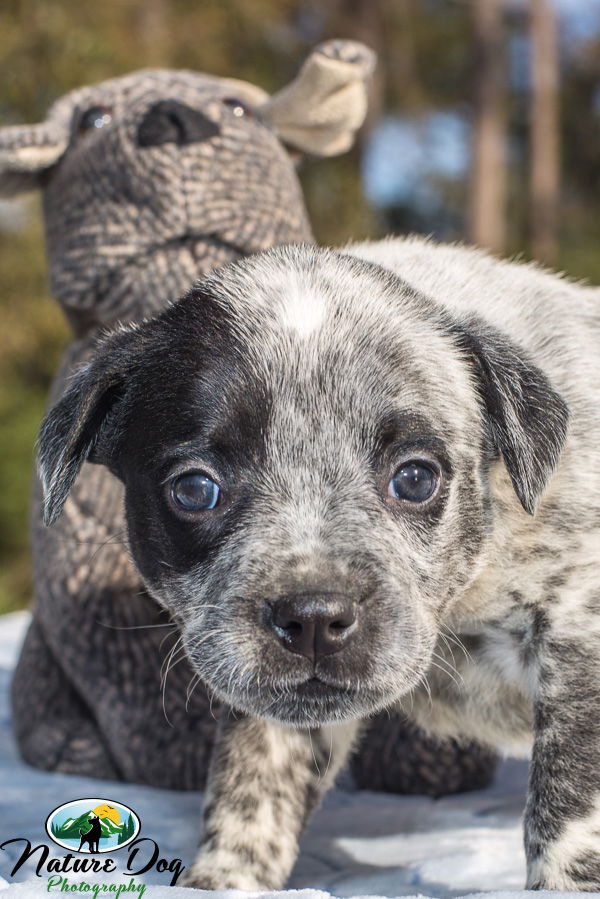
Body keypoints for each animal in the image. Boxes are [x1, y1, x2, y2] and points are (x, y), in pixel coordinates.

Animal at [37, 236, 600, 888]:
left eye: (415, 479)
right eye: (194, 490)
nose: (311, 618)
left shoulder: (580, 640)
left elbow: (567, 808)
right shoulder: (274, 707)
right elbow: (251, 789)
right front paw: (221, 881)